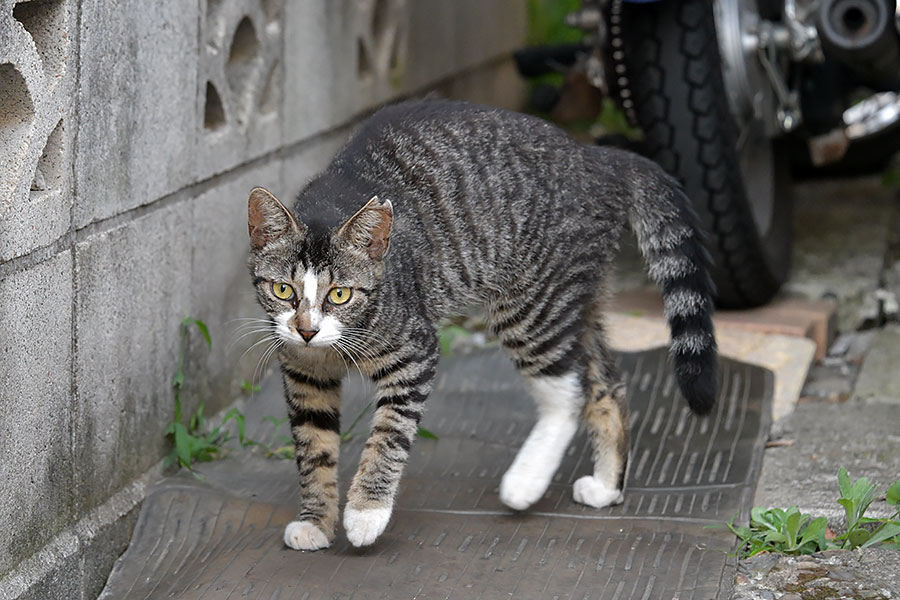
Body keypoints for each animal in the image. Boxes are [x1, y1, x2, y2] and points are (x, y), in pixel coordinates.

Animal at [246, 101, 716, 552]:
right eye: (283, 290)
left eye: (340, 294)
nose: (307, 330)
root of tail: (593, 156)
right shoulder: (305, 375)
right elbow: (314, 449)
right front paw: (316, 521)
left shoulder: (414, 353)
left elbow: (389, 435)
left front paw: (366, 512)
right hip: (574, 298)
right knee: (605, 385)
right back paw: (605, 485)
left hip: (533, 303)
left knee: (567, 392)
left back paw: (526, 480)